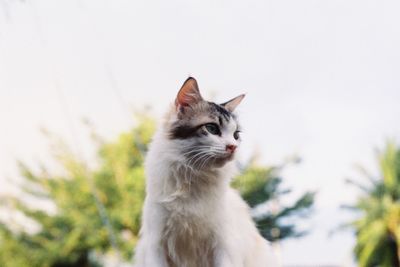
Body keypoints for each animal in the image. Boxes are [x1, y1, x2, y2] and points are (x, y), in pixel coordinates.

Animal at [134, 78, 278, 267]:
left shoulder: (223, 246)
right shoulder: (155, 245)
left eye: (236, 135)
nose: (233, 147)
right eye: (212, 128)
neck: (194, 176)